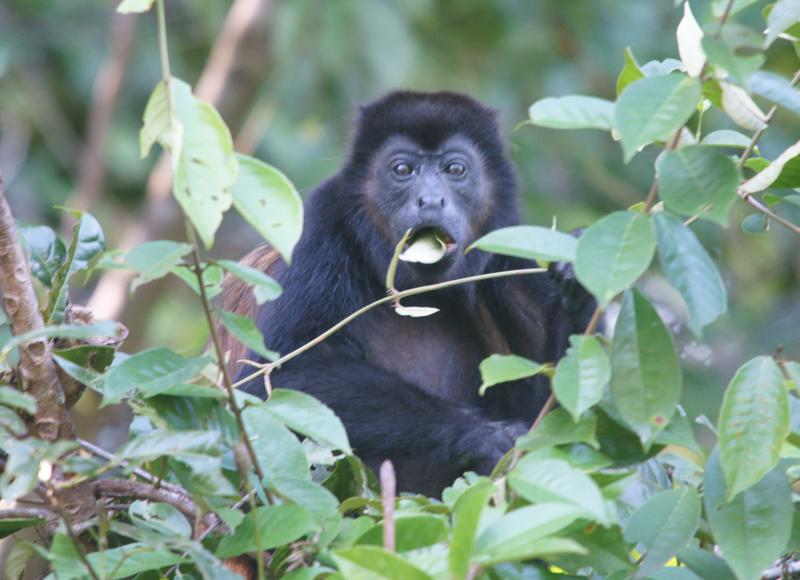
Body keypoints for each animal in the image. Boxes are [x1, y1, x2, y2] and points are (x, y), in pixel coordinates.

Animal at [223, 90, 596, 496]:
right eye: (402, 170)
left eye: (455, 169)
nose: (431, 200)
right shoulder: (320, 225)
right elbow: (277, 377)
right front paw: (484, 436)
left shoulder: (507, 244)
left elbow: (558, 415)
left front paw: (576, 275)